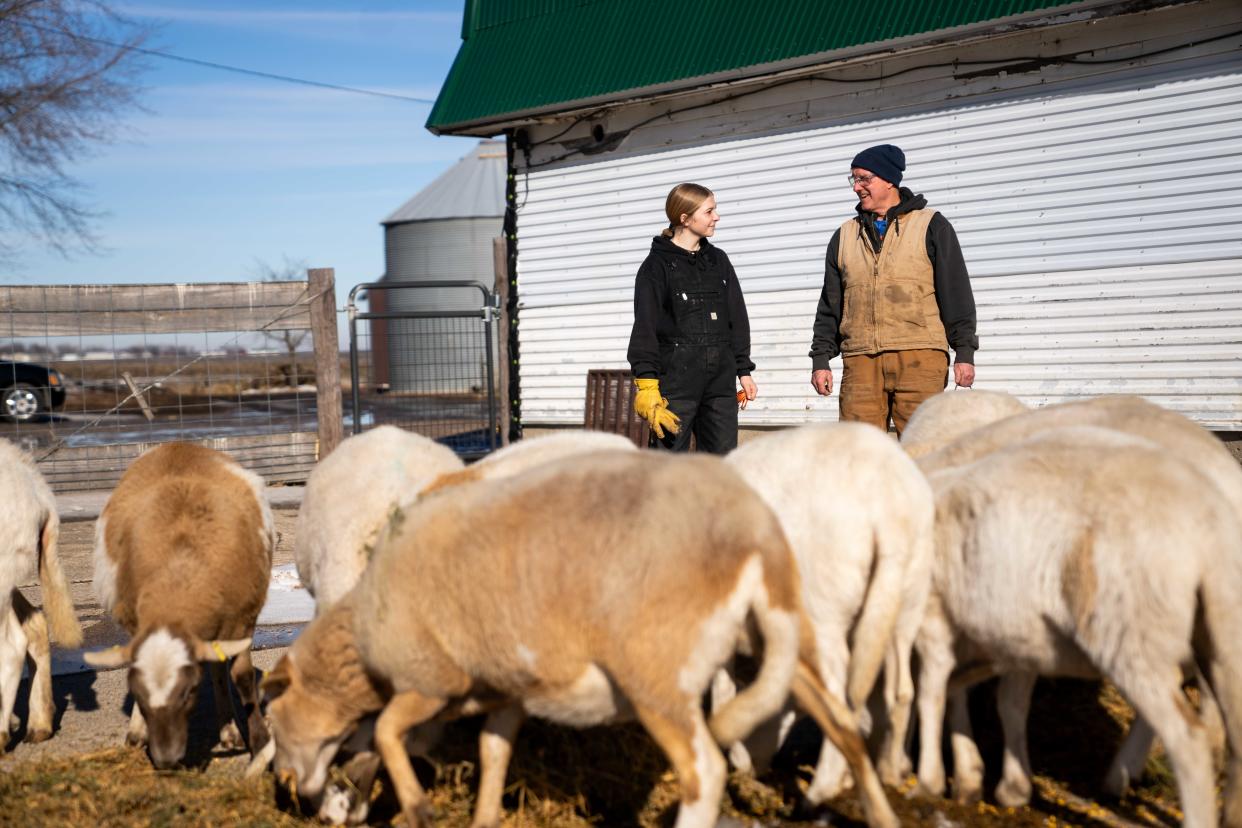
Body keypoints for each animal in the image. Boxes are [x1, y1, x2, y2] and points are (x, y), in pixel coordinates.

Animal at [88, 444, 279, 769]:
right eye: (137, 694)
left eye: (190, 691)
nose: (166, 760)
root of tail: (178, 444)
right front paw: (138, 732)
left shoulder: (243, 619)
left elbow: (241, 678)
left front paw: (260, 743)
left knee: (218, 668)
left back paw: (230, 730)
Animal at [267, 449, 899, 828]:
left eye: (272, 720)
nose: (291, 790)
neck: (360, 633)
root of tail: (755, 535)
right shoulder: (505, 690)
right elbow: (492, 753)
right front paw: (483, 814)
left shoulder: (430, 678)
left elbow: (389, 733)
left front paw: (419, 807)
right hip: (789, 644)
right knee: (846, 730)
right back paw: (880, 811)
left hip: (657, 673)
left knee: (706, 773)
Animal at [720, 424, 933, 799]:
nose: (748, 768)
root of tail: (890, 509)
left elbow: (721, 688)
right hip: (906, 602)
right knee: (901, 691)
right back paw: (889, 772)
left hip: (823, 607)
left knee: (839, 696)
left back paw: (823, 788)